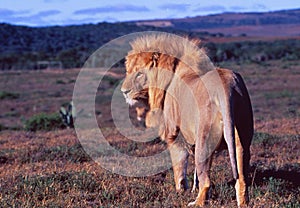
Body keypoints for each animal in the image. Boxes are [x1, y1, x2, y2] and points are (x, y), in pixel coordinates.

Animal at [120, 34, 252, 206]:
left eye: (139, 74)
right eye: (129, 71)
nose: (124, 91)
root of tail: (225, 87)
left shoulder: (174, 135)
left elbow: (179, 166)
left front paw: (180, 190)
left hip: (204, 138)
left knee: (206, 180)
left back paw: (196, 203)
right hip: (241, 140)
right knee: (241, 178)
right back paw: (242, 203)